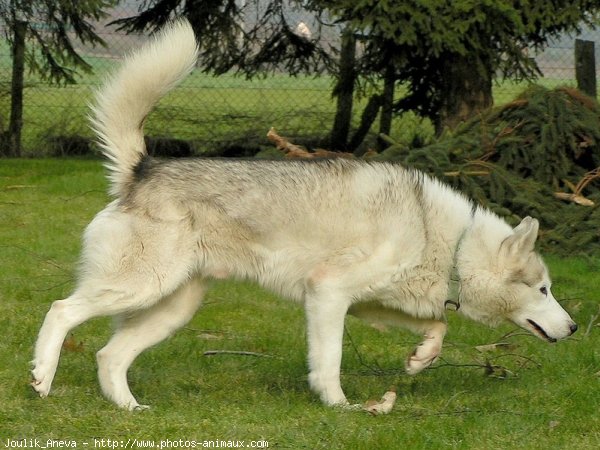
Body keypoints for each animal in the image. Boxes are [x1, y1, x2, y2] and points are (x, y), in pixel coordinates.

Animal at [31, 19, 576, 410]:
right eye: (544, 290)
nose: (573, 330)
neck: (451, 241)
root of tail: (143, 168)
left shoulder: (368, 304)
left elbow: (437, 327)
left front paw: (420, 360)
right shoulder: (328, 294)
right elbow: (329, 361)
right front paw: (339, 406)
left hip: (171, 307)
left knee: (109, 356)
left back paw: (129, 408)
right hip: (140, 286)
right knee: (61, 310)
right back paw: (41, 378)